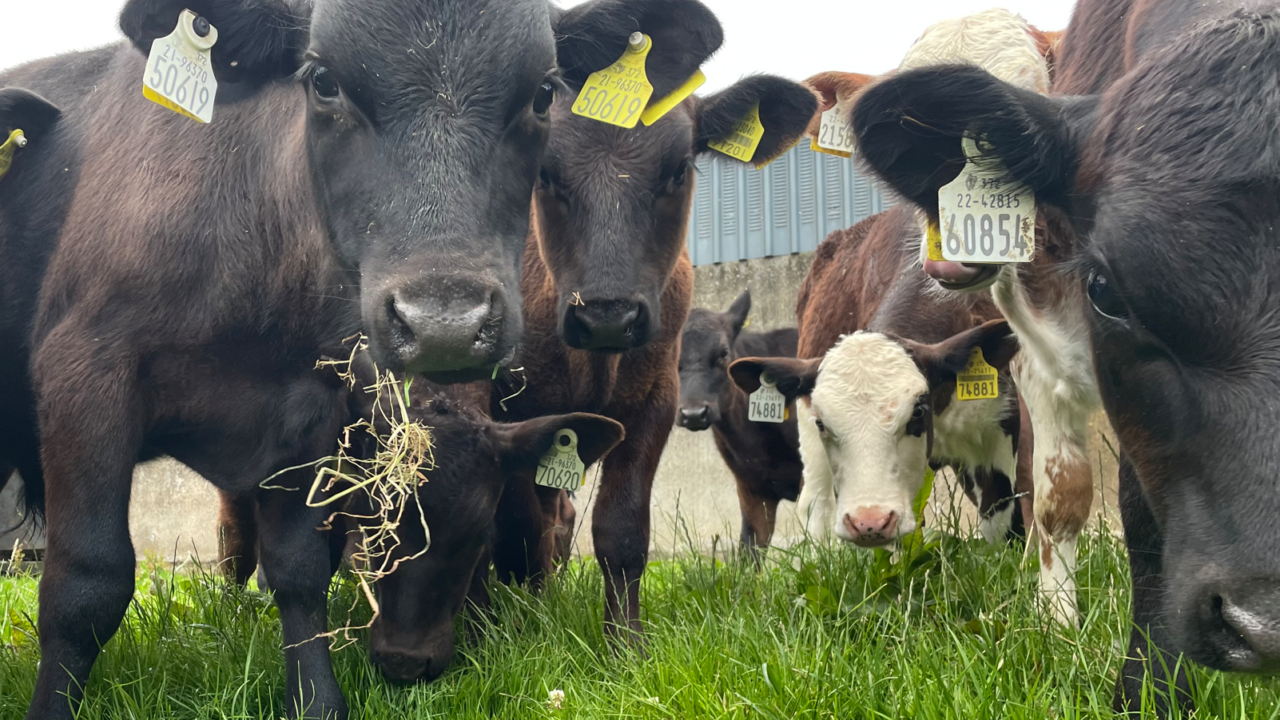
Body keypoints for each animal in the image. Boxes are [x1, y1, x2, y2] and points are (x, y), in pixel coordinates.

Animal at [729, 206, 1029, 553]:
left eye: (918, 412)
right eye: (822, 423)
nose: (867, 522)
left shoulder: (995, 433)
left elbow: (1004, 527)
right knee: (817, 508)